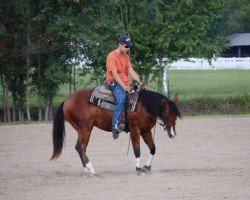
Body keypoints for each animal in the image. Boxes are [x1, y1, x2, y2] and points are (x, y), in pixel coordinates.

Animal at [49, 88, 181, 175]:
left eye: (175, 116)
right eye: (168, 114)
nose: (173, 134)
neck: (142, 106)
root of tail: (66, 101)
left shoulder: (145, 130)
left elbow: (153, 148)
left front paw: (147, 167)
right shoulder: (135, 130)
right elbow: (137, 150)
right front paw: (138, 169)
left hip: (86, 129)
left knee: (81, 148)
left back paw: (86, 169)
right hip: (84, 129)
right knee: (80, 147)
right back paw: (91, 169)